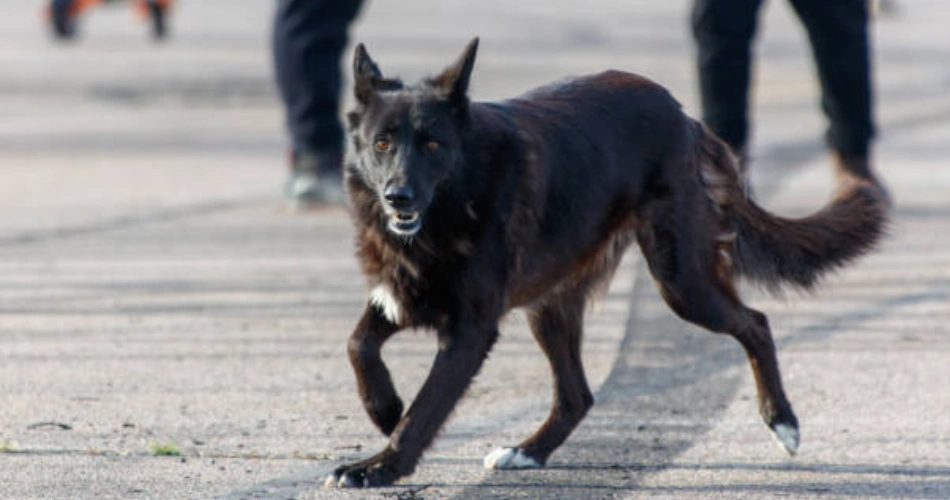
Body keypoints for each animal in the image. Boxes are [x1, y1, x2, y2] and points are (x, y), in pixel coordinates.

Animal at [330, 38, 892, 488]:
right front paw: (384, 409)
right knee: (576, 396)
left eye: (432, 144)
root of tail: (686, 118)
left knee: (755, 323)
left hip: (680, 280)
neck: (457, 194)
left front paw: (380, 466)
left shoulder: (469, 329)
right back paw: (527, 453)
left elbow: (425, 408)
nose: (397, 196)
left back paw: (782, 422)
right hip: (551, 304)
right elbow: (358, 344)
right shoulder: (402, 289)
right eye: (382, 143)